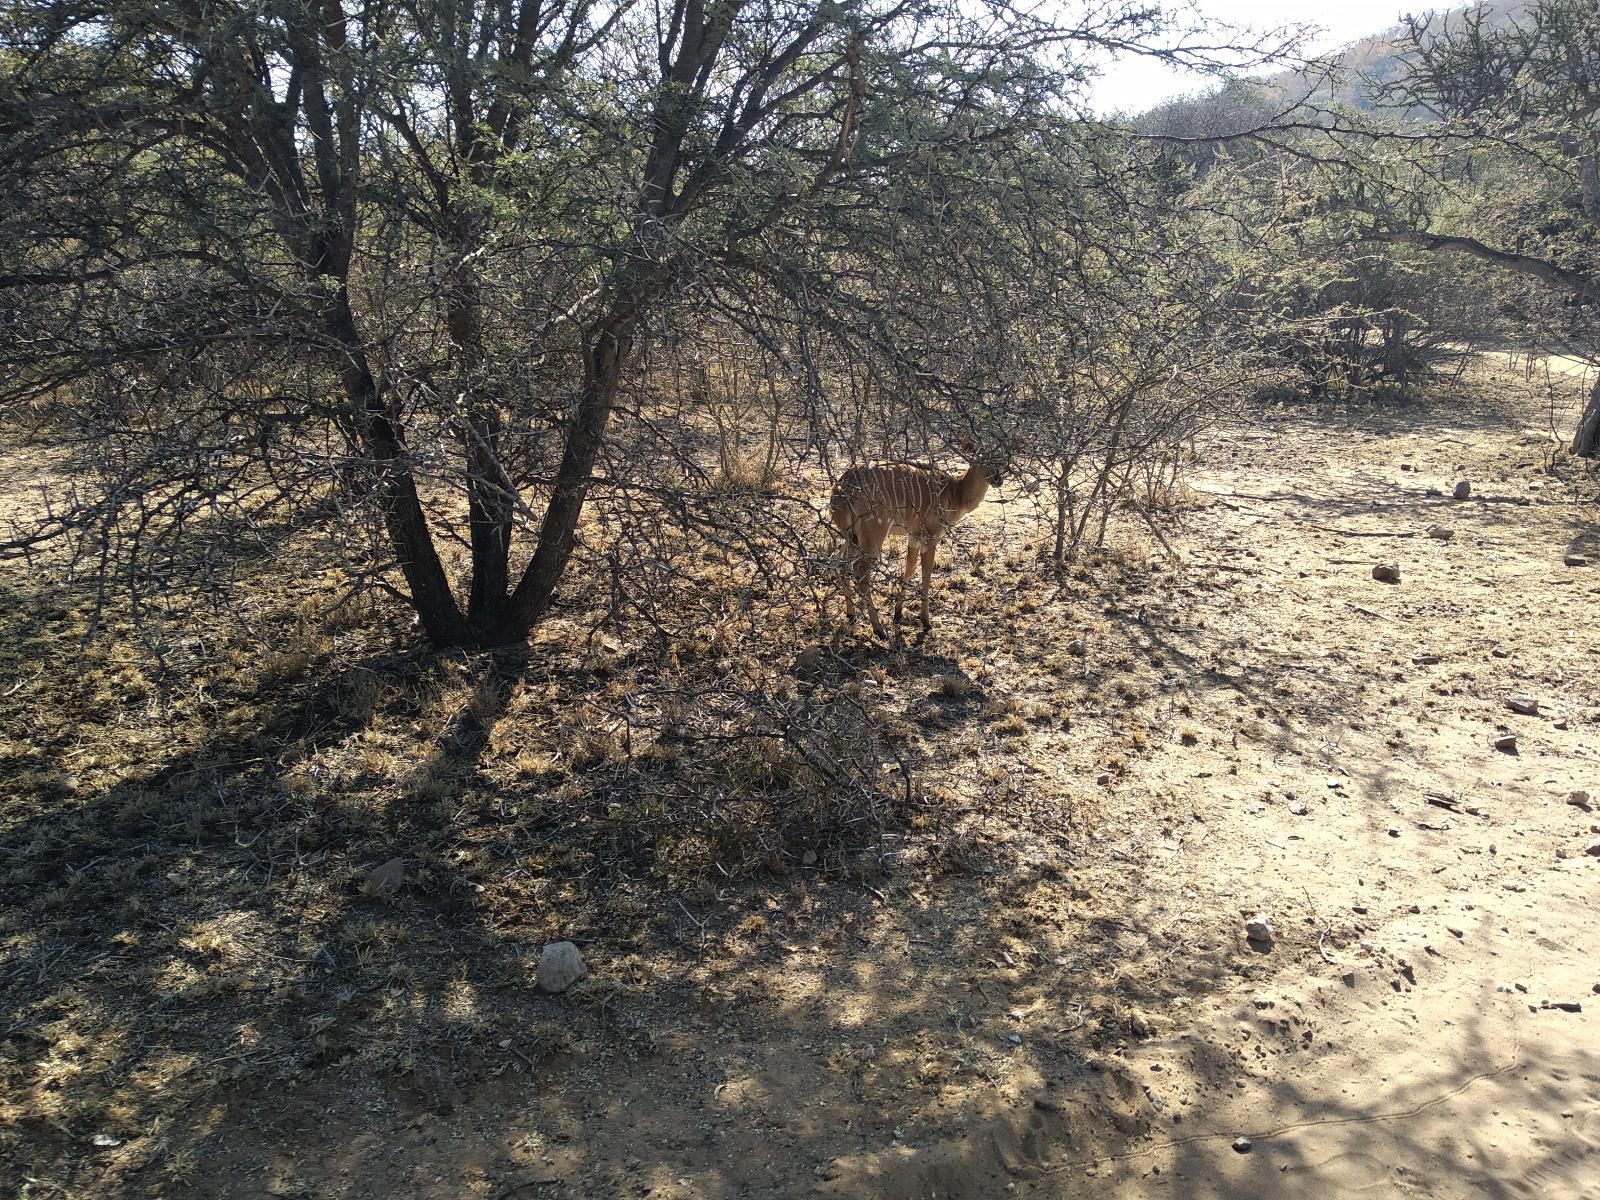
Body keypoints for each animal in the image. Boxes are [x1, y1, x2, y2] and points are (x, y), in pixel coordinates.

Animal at [832, 435, 1004, 640]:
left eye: (1000, 460)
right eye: (981, 459)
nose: (998, 479)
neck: (955, 493)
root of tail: (841, 490)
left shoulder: (914, 535)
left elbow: (909, 567)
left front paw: (898, 614)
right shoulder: (931, 536)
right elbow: (926, 572)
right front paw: (926, 621)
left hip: (851, 536)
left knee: (841, 563)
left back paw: (851, 614)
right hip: (873, 532)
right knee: (861, 572)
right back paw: (879, 629)